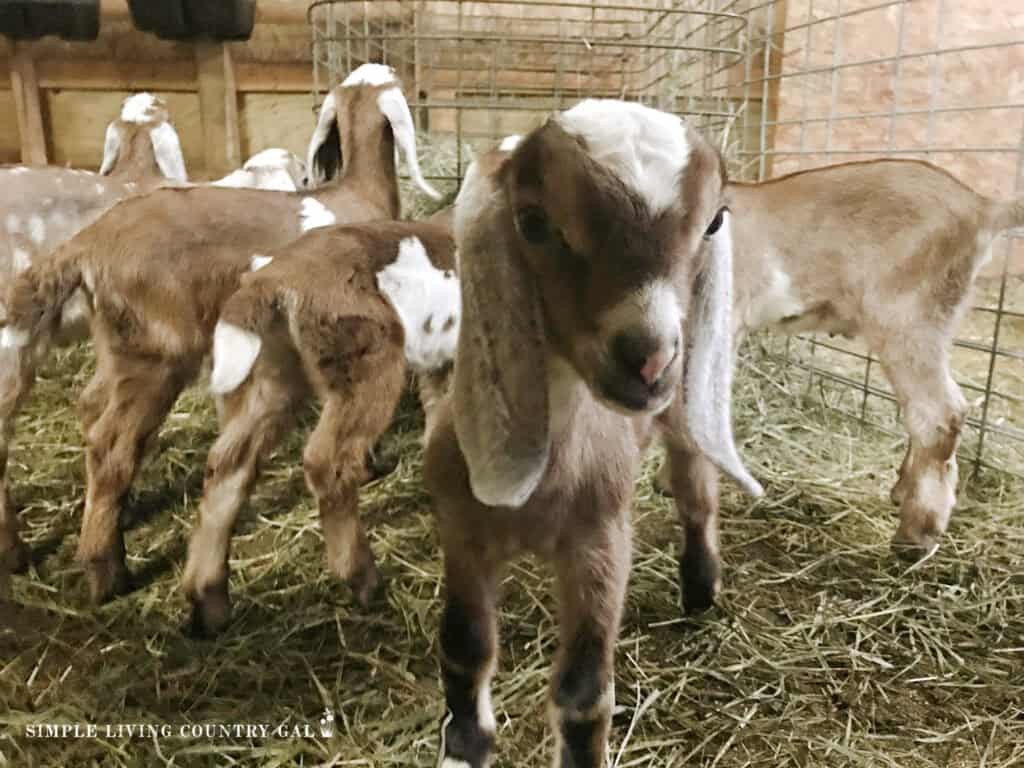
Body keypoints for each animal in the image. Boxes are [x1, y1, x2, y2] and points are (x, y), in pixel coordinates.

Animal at [0, 63, 440, 600]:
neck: (356, 193)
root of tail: (89, 244)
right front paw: (374, 462)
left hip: (122, 342)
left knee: (90, 411)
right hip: (159, 350)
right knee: (107, 445)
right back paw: (104, 572)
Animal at [181, 214, 456, 634]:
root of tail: (270, 281)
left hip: (275, 373)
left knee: (229, 464)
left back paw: (209, 603)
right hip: (363, 355)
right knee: (327, 460)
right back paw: (363, 579)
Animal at [423, 101, 762, 768]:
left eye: (714, 222)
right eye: (532, 221)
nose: (651, 360)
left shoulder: (600, 541)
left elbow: (582, 693)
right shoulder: (463, 530)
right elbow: (465, 646)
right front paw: (467, 745)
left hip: (685, 417)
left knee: (696, 493)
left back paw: (701, 584)